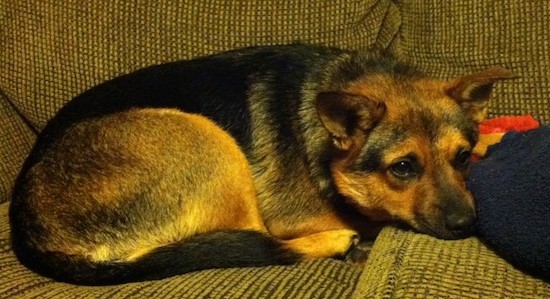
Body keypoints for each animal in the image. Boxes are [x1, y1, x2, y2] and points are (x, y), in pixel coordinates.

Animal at [8, 44, 516, 286]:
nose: (467, 224)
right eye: (403, 168)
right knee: (264, 243)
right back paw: (340, 243)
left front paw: (497, 134)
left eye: (462, 158)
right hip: (205, 138)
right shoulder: (294, 216)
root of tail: (28, 228)